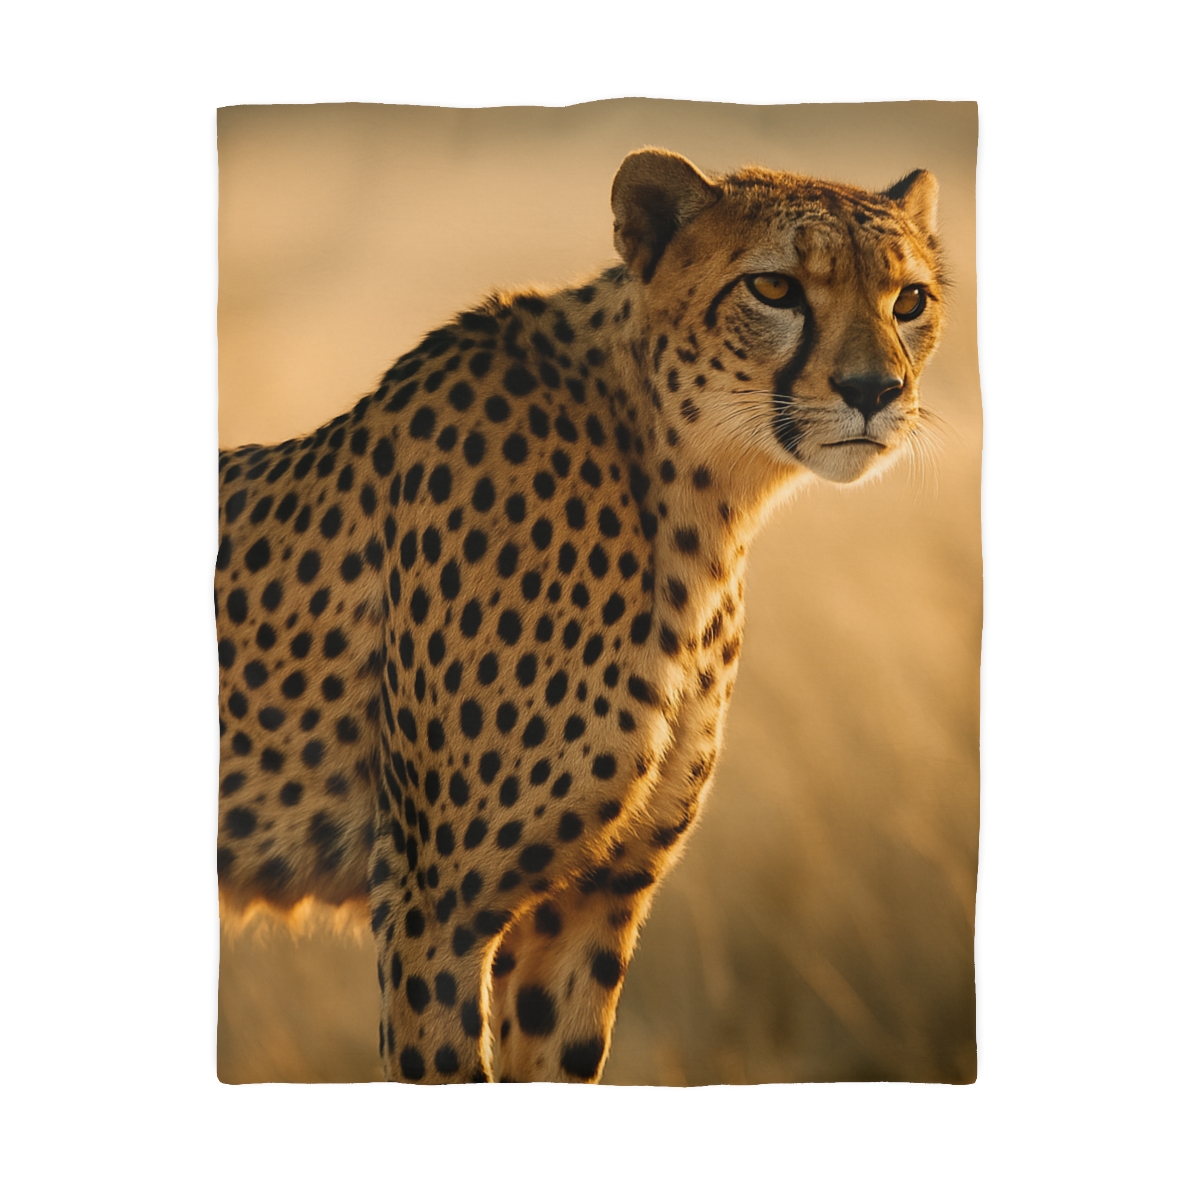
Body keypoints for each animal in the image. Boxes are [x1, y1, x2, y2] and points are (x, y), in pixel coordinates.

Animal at [215, 147, 947, 1084]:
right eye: (775, 288)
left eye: (910, 299)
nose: (874, 390)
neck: (688, 491)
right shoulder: (435, 902)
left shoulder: (593, 901)